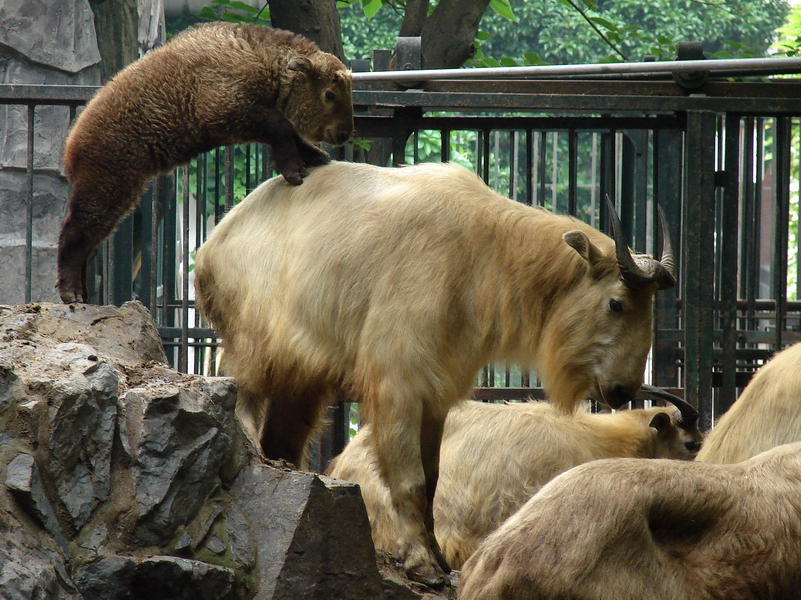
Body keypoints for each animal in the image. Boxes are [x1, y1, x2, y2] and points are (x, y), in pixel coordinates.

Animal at [193, 160, 676, 586]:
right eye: (616, 303)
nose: (624, 389)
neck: (484, 251)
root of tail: (214, 240)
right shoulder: (398, 385)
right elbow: (410, 481)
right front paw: (420, 563)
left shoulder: (437, 394)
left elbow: (433, 478)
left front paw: (441, 560)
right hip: (252, 348)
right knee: (238, 392)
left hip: (302, 381)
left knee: (284, 436)